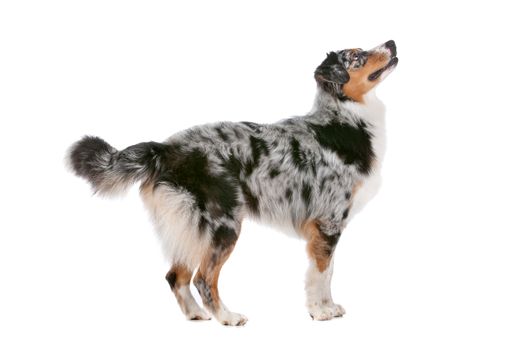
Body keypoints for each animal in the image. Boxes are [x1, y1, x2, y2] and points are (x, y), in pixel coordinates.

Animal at [67, 40, 400, 326]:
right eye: (356, 56)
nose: (392, 43)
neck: (344, 119)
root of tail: (163, 149)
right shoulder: (328, 222)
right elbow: (320, 273)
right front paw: (320, 312)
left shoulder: (327, 227)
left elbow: (328, 272)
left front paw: (328, 307)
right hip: (223, 224)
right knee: (203, 277)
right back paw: (227, 317)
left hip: (191, 228)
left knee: (176, 275)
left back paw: (196, 315)